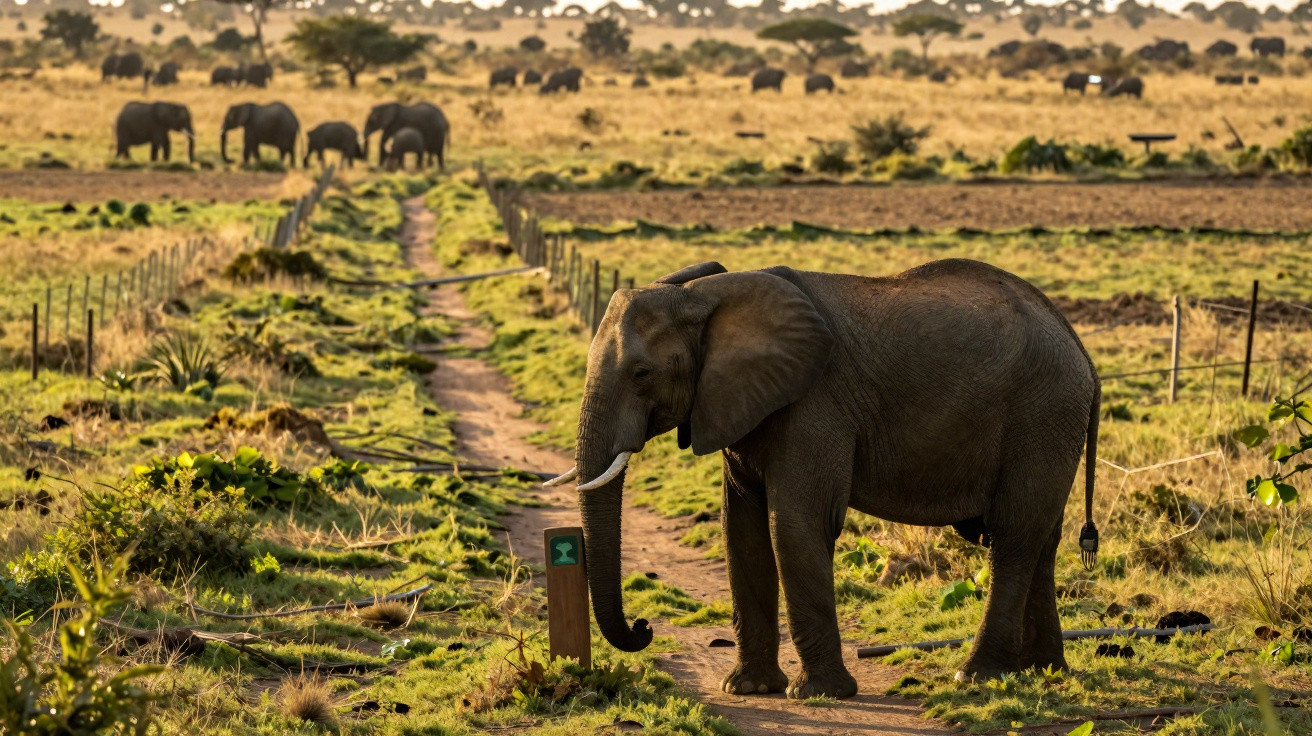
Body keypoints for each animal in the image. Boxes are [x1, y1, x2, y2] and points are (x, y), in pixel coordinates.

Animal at [542, 259, 1101, 695]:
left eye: (642, 374)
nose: (643, 626)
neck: (706, 295)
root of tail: (1081, 350)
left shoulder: (815, 403)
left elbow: (794, 525)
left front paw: (818, 694)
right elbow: (741, 530)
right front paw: (747, 689)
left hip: (1043, 413)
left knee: (1013, 536)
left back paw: (977, 676)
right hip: (1052, 423)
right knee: (1041, 539)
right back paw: (1044, 670)